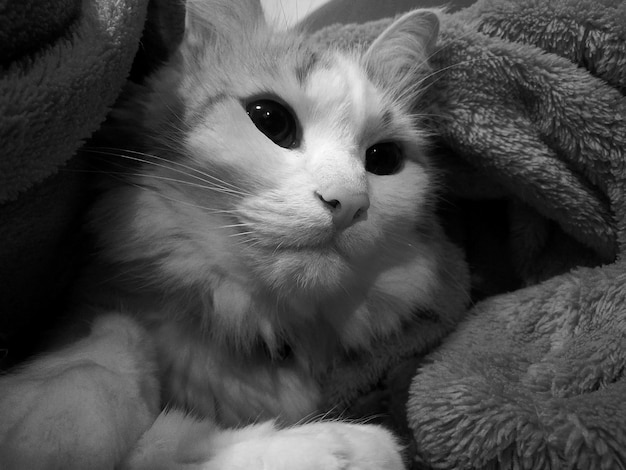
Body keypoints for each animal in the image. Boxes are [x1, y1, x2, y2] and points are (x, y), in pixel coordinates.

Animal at [0, 1, 466, 468]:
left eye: (384, 158)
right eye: (271, 120)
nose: (350, 202)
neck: (245, 324)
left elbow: (169, 443)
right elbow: (113, 341)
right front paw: (50, 424)